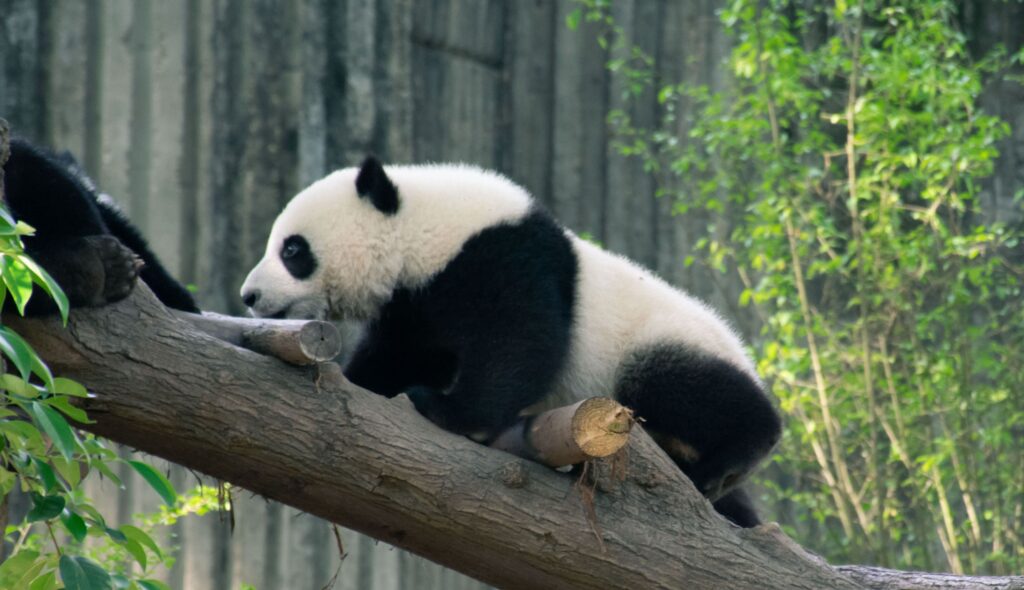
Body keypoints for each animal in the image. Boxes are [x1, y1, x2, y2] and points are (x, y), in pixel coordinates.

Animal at [241, 155, 782, 524]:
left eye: (292, 250)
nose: (249, 295)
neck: (424, 229)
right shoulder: (415, 302)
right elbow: (398, 355)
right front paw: (362, 382)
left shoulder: (502, 256)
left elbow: (522, 341)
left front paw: (451, 413)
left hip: (659, 343)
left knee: (682, 387)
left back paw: (732, 457)